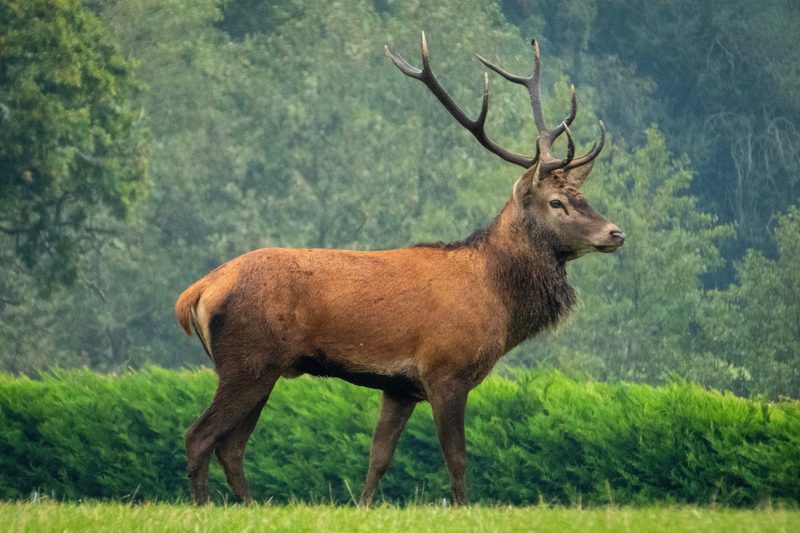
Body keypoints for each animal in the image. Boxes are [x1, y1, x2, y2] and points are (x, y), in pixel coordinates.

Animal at [175, 33, 625, 506]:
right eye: (556, 202)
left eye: (582, 196)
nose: (615, 233)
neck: (498, 301)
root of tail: (197, 292)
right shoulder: (445, 371)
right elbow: (456, 458)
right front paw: (463, 509)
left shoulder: (399, 386)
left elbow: (380, 456)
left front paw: (363, 505)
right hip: (248, 361)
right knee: (199, 436)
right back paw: (206, 506)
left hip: (262, 368)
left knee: (231, 446)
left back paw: (250, 505)